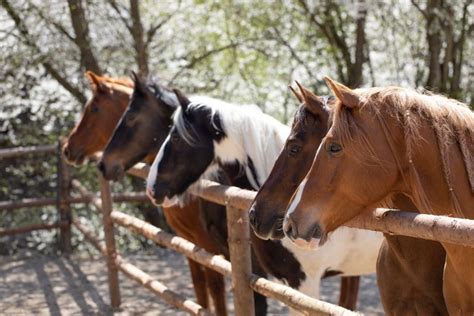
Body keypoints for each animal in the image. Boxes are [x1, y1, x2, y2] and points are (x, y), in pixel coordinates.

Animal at [62, 72, 230, 316]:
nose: (67, 148)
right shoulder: (190, 244)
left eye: (93, 108)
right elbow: (199, 290)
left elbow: (216, 292)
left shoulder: (209, 249)